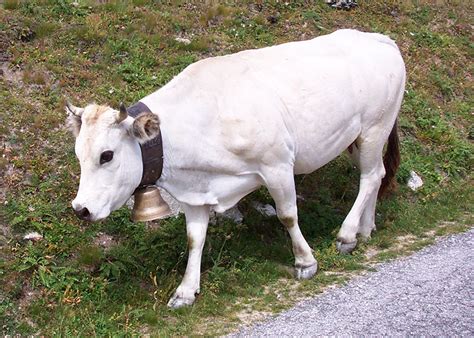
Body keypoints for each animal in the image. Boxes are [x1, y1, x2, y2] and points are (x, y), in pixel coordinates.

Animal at [66, 30, 406, 308]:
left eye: (106, 155)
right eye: (78, 154)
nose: (81, 209)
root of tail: (380, 39)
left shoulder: (277, 164)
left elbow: (287, 215)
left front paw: (305, 262)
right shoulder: (196, 193)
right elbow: (194, 238)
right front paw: (185, 291)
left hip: (375, 127)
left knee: (370, 177)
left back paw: (348, 234)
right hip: (357, 139)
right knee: (377, 175)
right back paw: (366, 228)